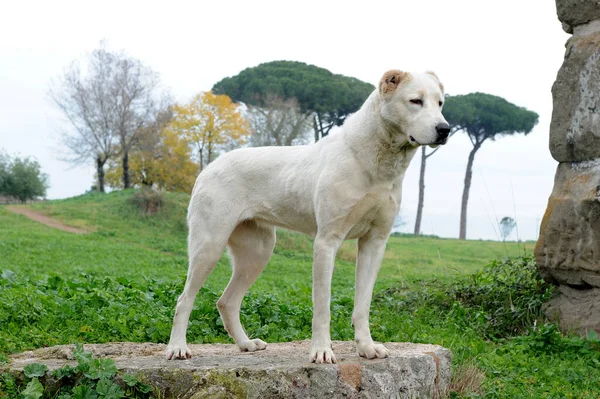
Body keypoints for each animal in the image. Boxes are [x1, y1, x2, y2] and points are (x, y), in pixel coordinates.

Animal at [166, 70, 448, 364]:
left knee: (227, 301)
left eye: (440, 103)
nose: (445, 129)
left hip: (257, 253)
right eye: (415, 101)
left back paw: (245, 344)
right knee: (184, 300)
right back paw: (177, 348)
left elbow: (363, 305)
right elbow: (322, 307)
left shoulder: (374, 243)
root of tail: (209, 166)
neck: (374, 158)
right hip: (209, 246)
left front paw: (366, 347)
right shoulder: (327, 242)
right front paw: (322, 351)